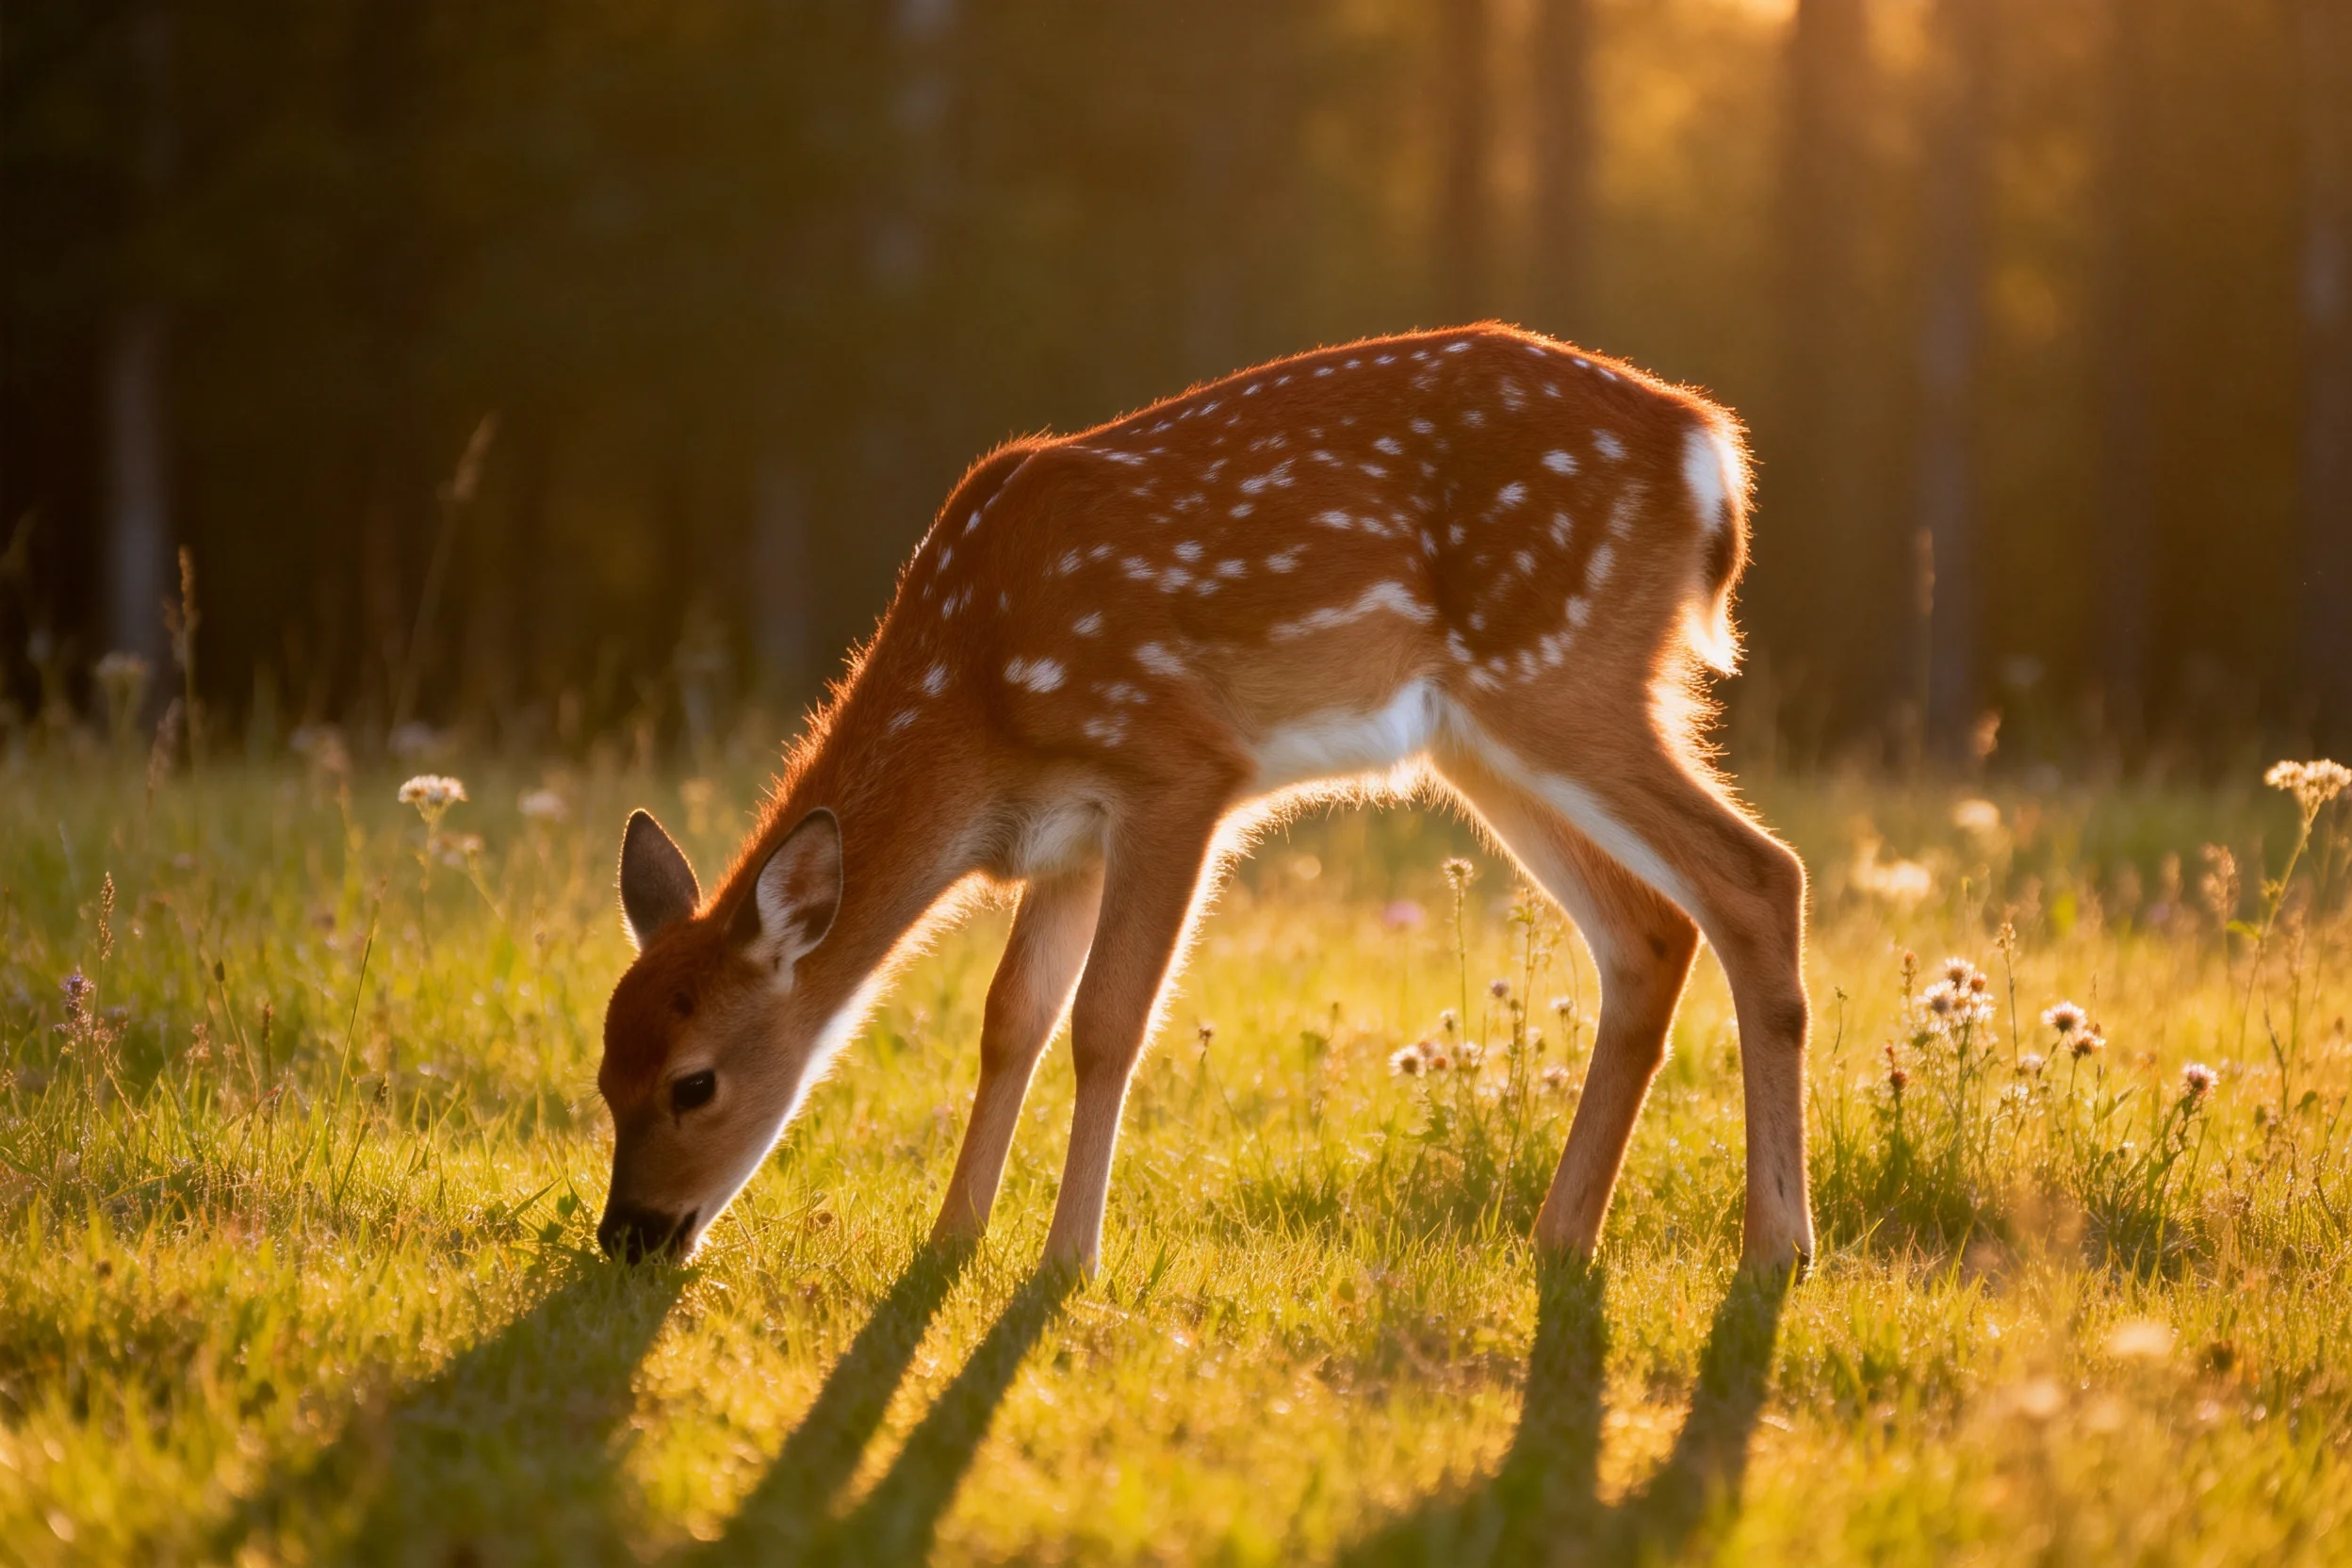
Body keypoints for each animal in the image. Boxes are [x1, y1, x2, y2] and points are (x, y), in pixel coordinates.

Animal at [595, 323, 1815, 1281]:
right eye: (604, 1074)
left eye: (695, 1082)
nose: (628, 1234)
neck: (978, 695)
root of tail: (1709, 448)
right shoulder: (1065, 837)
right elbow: (1010, 1019)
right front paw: (950, 1239)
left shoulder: (1176, 767)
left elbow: (1106, 1021)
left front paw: (1064, 1260)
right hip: (1485, 738)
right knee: (1651, 930)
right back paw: (1563, 1236)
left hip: (1561, 671)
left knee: (1760, 873)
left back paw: (1774, 1247)